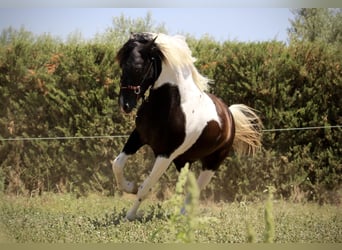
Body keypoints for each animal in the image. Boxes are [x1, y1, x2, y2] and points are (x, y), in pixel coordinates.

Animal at [112, 32, 262, 220]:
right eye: (122, 65)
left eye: (138, 67)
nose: (125, 104)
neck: (169, 105)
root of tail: (229, 114)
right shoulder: (138, 136)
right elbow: (117, 164)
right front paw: (129, 187)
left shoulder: (165, 154)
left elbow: (145, 187)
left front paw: (129, 216)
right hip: (183, 162)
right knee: (191, 188)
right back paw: (182, 215)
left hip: (211, 164)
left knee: (196, 190)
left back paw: (183, 216)